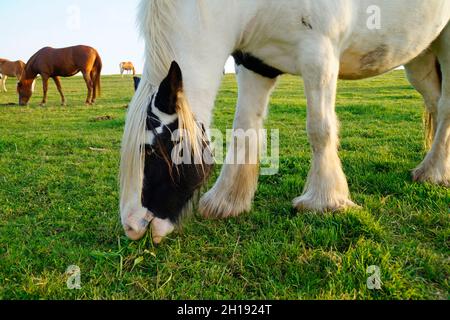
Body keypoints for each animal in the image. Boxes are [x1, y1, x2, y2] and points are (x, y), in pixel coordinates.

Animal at [119, 0, 450, 245]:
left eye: (153, 150)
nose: (132, 227)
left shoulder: (320, 55)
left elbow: (320, 129)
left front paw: (324, 200)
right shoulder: (255, 63)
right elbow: (243, 128)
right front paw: (228, 201)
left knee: (445, 108)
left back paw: (433, 173)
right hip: (419, 56)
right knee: (435, 103)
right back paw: (434, 167)